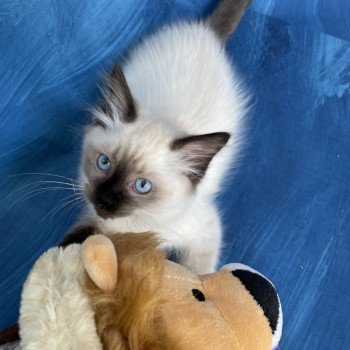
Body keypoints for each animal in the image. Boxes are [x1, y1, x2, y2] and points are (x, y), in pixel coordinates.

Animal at [60, 0, 252, 274]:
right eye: (104, 163)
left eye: (142, 186)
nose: (104, 199)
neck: (136, 226)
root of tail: (205, 32)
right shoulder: (92, 219)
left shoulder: (205, 232)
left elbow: (198, 274)